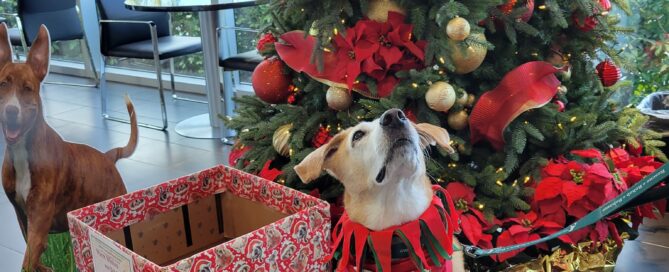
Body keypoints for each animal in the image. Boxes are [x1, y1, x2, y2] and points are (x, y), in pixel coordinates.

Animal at [0, 23, 136, 272]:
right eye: (3, 84)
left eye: (27, 88)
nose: (11, 111)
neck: (24, 151)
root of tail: (108, 156)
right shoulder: (23, 217)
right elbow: (33, 257)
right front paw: (45, 267)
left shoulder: (39, 218)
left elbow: (29, 258)